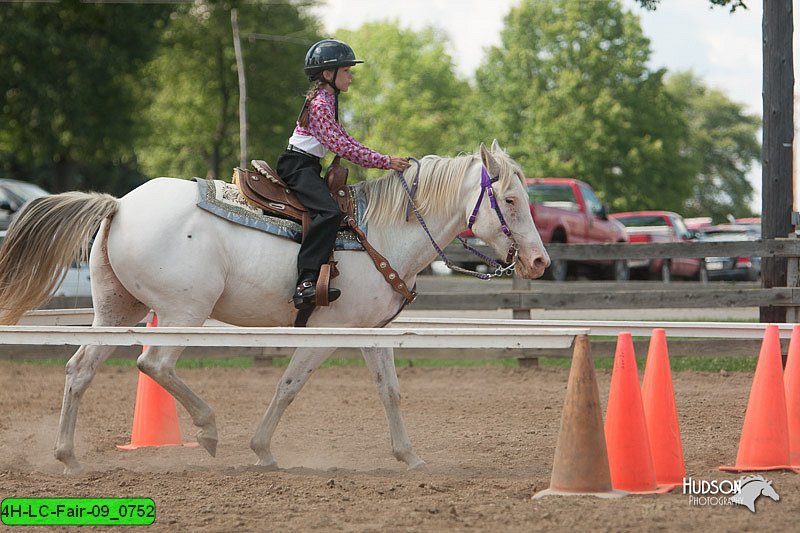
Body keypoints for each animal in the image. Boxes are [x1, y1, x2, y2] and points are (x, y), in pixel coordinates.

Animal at [0, 139, 552, 472]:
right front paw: (262, 450)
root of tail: (119, 204)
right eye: (509, 199)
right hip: (183, 313)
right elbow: (289, 385)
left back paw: (69, 457)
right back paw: (208, 430)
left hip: (118, 311)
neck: (381, 234)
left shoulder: (371, 332)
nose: (540, 260)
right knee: (153, 363)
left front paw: (409, 456)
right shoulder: (326, 333)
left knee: (80, 369)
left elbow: (389, 392)